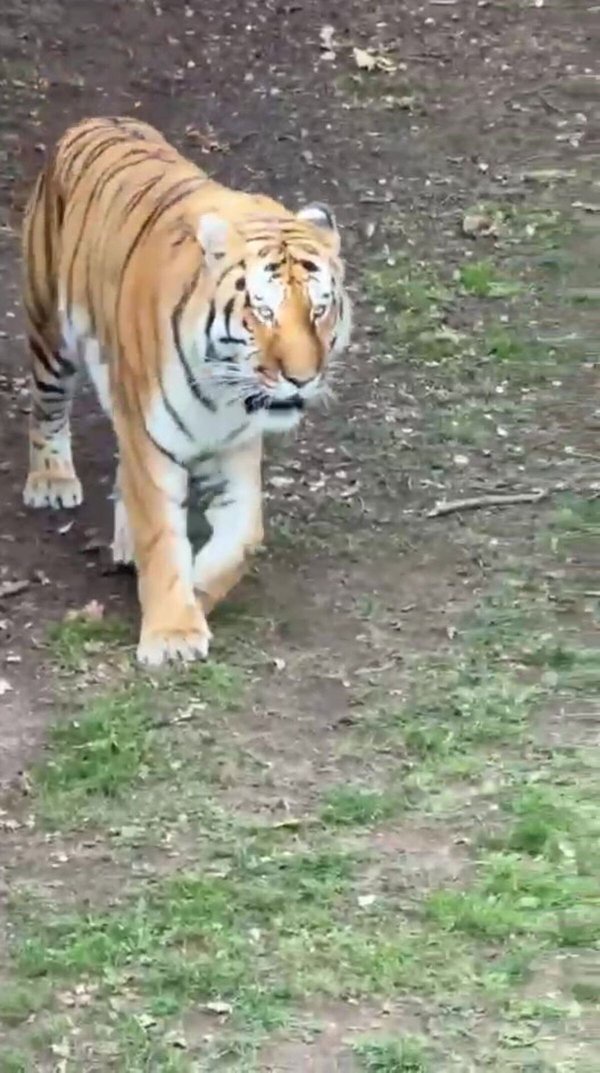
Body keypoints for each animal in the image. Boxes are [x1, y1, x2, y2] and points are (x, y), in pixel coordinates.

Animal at [21, 116, 352, 666]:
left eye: (319, 309)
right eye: (263, 312)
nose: (302, 378)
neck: (223, 394)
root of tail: (100, 119)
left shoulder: (237, 450)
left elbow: (241, 540)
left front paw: (194, 595)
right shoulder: (151, 447)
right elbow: (162, 538)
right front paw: (173, 633)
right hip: (51, 334)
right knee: (47, 410)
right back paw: (51, 480)